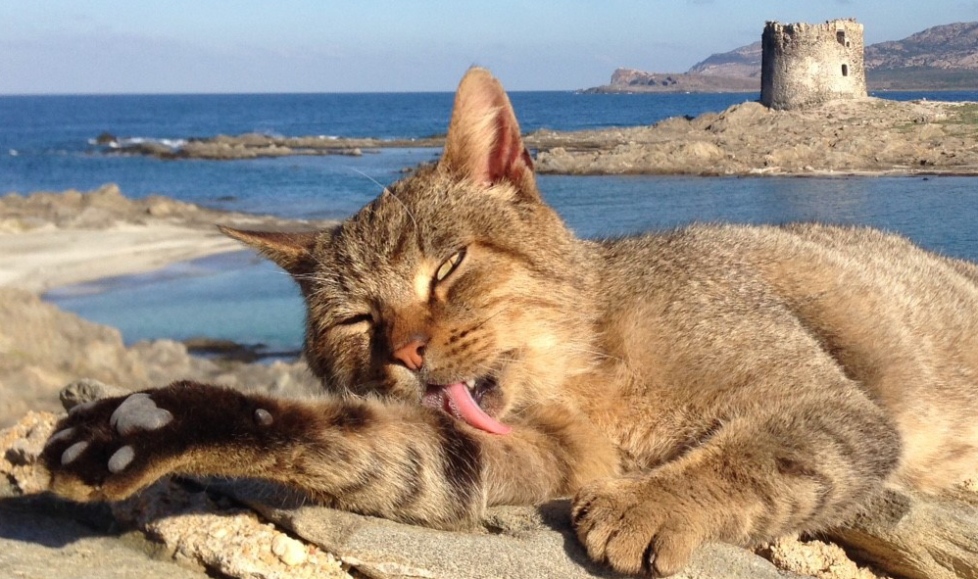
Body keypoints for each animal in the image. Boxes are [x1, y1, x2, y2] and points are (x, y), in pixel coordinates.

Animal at [43, 67, 976, 576]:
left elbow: (760, 452)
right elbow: (346, 441)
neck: (590, 373)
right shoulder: (509, 460)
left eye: (449, 264)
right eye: (354, 318)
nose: (407, 351)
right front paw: (144, 422)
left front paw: (653, 504)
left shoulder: (831, 404)